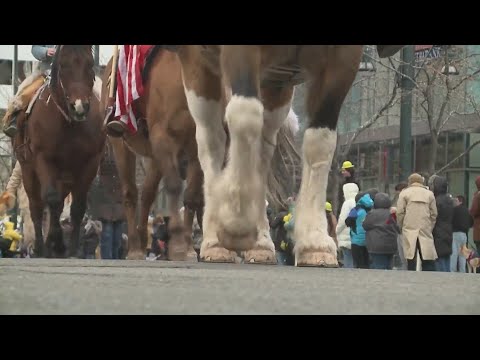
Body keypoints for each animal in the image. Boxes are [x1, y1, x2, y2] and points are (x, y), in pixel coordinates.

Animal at [12, 45, 105, 258]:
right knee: (36, 206)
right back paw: (40, 247)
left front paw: (71, 249)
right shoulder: (43, 159)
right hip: (28, 169)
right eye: (63, 65)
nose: (79, 107)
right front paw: (57, 243)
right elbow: (51, 199)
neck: (68, 123)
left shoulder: (89, 163)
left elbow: (77, 207)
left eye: (90, 64)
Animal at [98, 47, 300, 262]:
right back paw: (135, 249)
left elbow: (192, 197)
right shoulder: (163, 138)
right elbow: (174, 186)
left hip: (155, 157)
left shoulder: (194, 148)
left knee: (147, 194)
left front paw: (189, 248)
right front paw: (179, 245)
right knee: (130, 193)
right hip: (122, 144)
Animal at [172, 44, 404, 264]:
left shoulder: (343, 57)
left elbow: (320, 141)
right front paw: (236, 223)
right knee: (213, 142)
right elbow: (245, 116)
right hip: (200, 73)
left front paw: (314, 242)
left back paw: (261, 242)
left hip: (276, 86)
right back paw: (215, 242)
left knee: (262, 149)